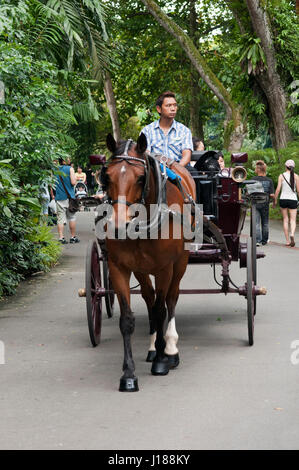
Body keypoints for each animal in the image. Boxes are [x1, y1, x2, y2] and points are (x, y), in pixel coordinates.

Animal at [102, 130, 198, 392]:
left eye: (140, 178)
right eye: (106, 176)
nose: (118, 225)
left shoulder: (165, 267)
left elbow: (160, 309)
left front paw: (163, 361)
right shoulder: (119, 267)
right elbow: (128, 319)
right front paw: (128, 375)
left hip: (181, 261)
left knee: (171, 299)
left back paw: (170, 349)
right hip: (142, 270)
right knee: (149, 297)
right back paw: (154, 347)